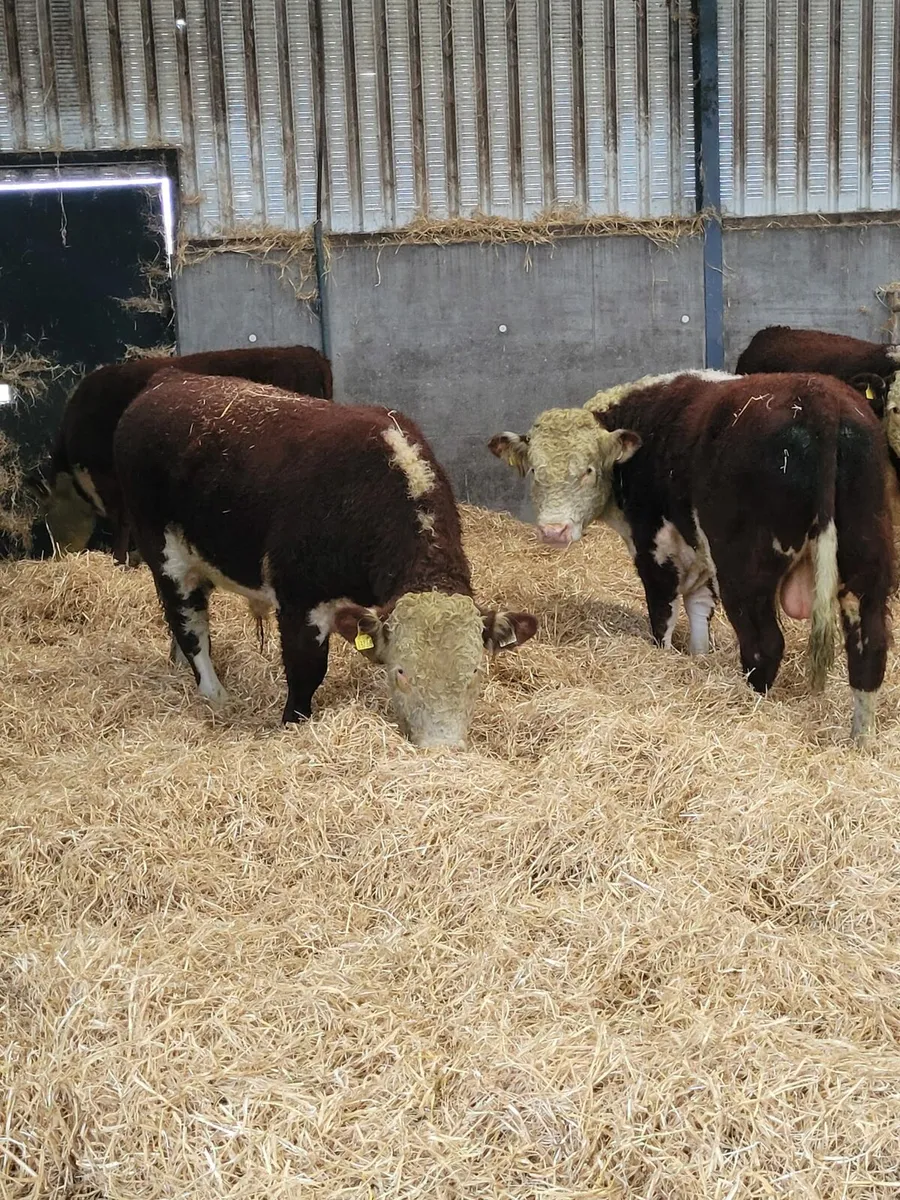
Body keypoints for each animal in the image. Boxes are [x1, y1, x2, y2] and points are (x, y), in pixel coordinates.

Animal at [44, 344, 333, 564]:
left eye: (50, 518)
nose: (58, 554)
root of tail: (308, 353)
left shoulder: (112, 480)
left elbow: (122, 523)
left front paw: (121, 559)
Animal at [113, 370, 537, 747]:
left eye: (476, 673)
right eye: (400, 672)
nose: (442, 748)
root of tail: (167, 378)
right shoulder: (299, 602)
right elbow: (306, 672)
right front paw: (293, 724)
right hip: (167, 559)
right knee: (190, 627)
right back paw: (214, 694)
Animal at [489, 371, 896, 744]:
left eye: (588, 470)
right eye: (535, 471)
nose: (553, 531)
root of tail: (819, 397)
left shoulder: (654, 548)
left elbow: (663, 617)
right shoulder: (699, 554)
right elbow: (699, 610)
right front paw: (699, 658)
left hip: (745, 570)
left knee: (763, 645)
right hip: (866, 559)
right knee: (869, 647)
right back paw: (860, 742)